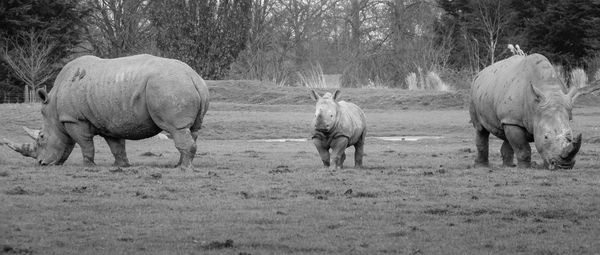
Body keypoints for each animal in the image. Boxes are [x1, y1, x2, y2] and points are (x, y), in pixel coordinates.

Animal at [2, 54, 209, 170]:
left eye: (42, 137)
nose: (41, 164)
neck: (54, 111)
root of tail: (193, 77)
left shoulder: (74, 119)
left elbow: (85, 144)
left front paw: (89, 167)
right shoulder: (110, 122)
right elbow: (116, 146)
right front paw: (121, 166)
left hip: (168, 86)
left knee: (176, 129)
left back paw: (184, 169)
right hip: (182, 85)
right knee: (192, 130)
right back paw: (179, 165)